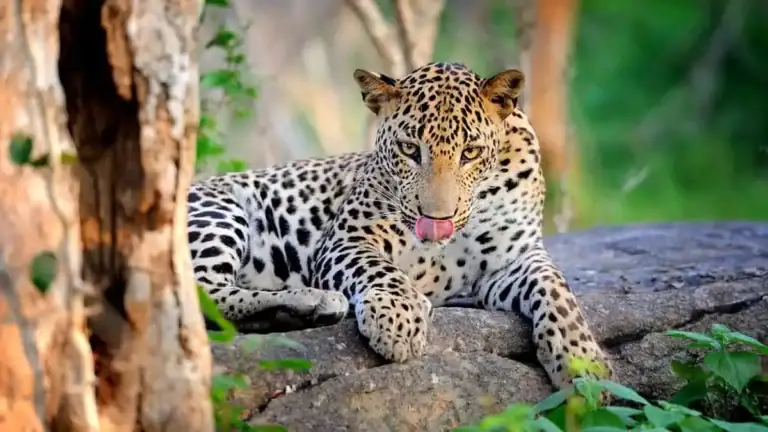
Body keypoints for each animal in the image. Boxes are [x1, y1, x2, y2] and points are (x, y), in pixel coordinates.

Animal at [187, 62, 614, 389]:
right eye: (410, 150)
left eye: (470, 153)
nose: (437, 220)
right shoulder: (348, 240)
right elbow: (381, 269)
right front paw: (399, 318)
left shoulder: (513, 259)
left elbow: (556, 289)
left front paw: (583, 361)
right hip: (218, 209)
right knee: (203, 294)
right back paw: (311, 302)